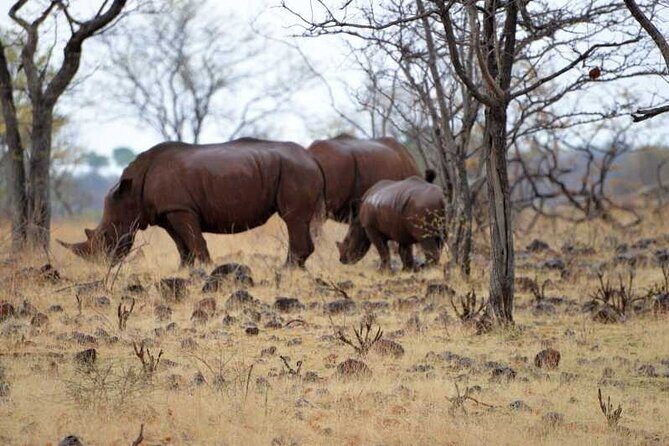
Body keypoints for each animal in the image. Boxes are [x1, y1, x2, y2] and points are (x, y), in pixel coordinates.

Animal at [59, 138, 324, 267]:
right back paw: (299, 270)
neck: (131, 194)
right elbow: (183, 247)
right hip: (294, 169)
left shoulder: (180, 209)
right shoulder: (168, 213)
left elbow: (196, 243)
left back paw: (286, 271)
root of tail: (312, 158)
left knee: (292, 218)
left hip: (295, 170)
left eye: (106, 236)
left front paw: (208, 272)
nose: (100, 264)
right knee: (301, 221)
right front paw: (184, 272)